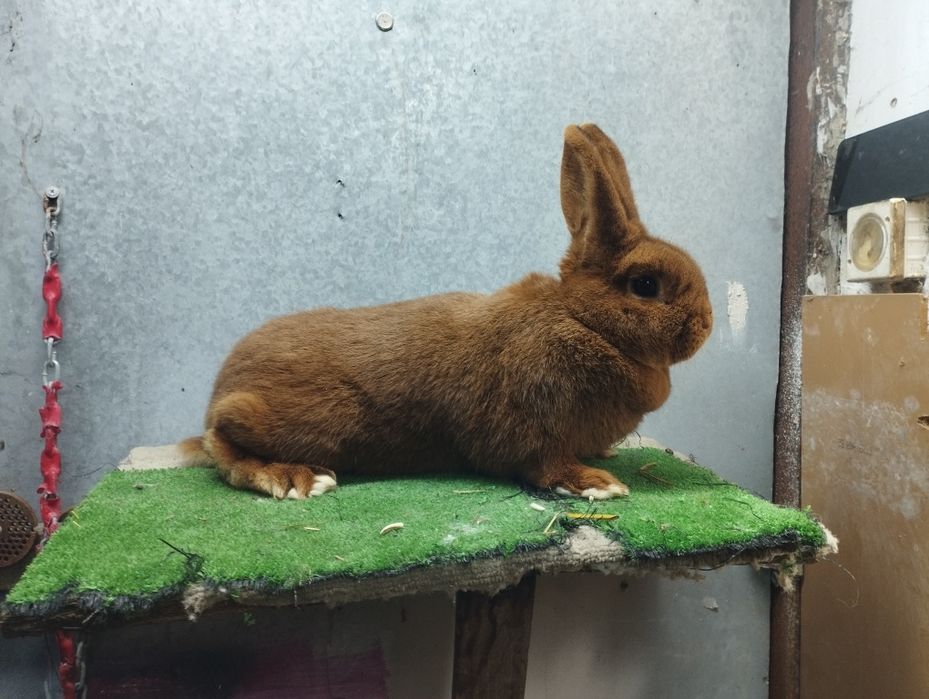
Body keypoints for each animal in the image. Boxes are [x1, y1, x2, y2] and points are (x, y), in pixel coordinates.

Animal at [180, 124, 712, 501]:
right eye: (646, 285)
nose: (706, 324)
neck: (584, 321)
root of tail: (221, 388)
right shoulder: (529, 423)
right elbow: (544, 464)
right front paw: (599, 483)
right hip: (306, 421)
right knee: (224, 439)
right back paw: (295, 478)